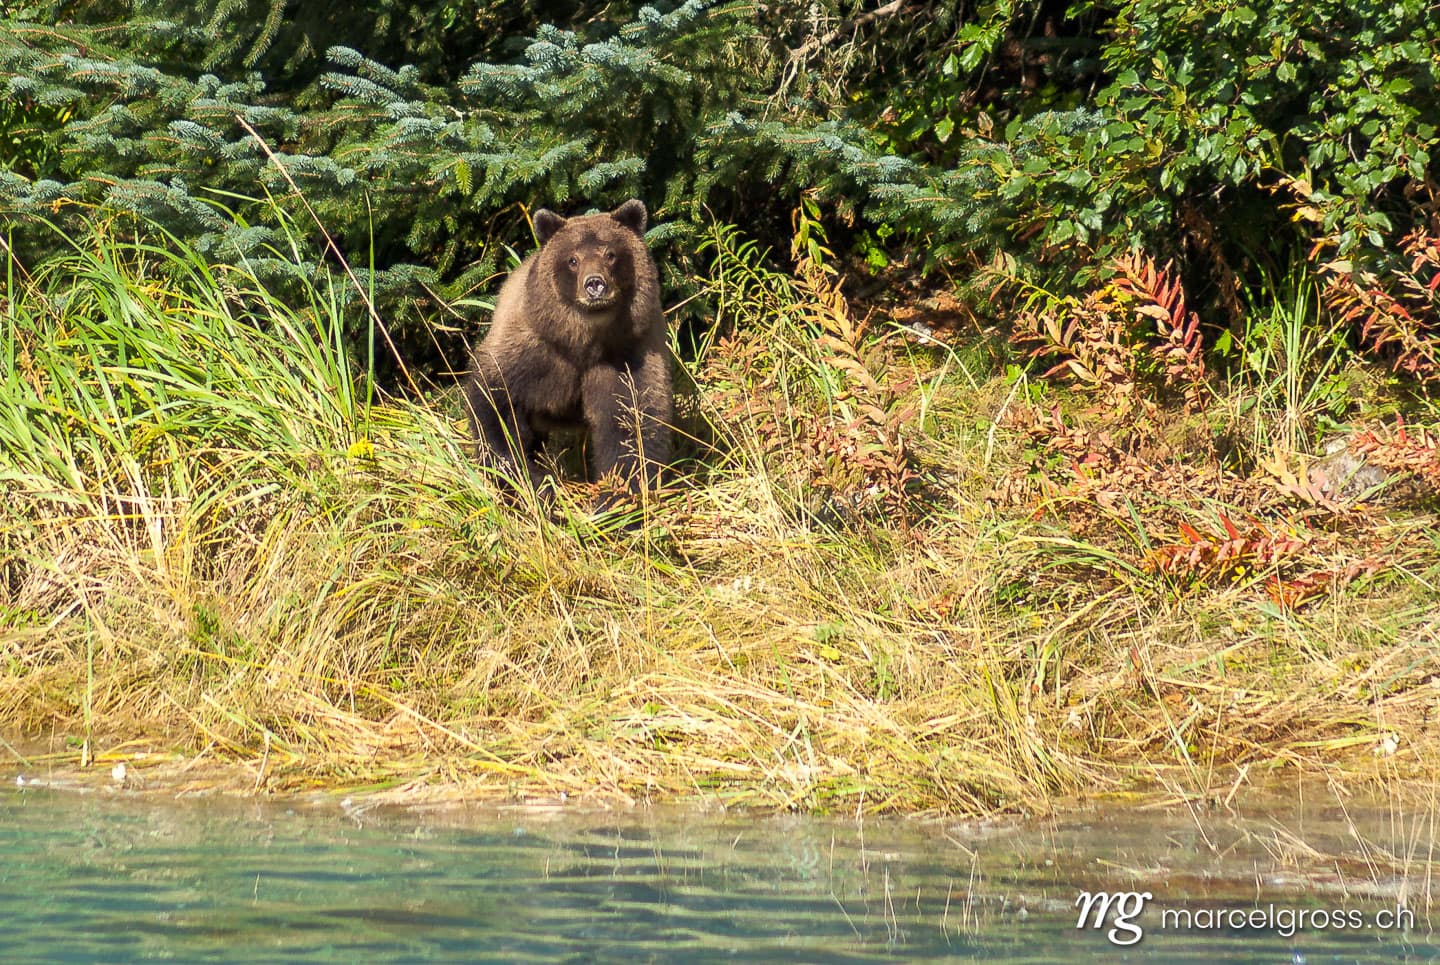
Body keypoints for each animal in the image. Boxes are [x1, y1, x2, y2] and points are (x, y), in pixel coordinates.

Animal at [462, 198, 672, 501]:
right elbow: (494, 407)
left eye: (611, 253)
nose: (595, 284)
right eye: (573, 259)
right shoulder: (532, 354)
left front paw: (615, 497)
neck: (584, 343)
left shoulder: (627, 356)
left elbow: (630, 426)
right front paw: (533, 484)